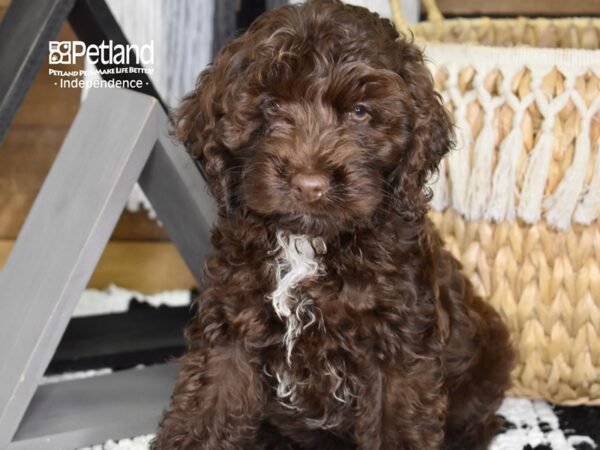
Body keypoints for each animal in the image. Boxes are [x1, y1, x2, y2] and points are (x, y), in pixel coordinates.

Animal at [152, 1, 512, 448]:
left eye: (359, 112)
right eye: (272, 106)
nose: (310, 184)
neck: (307, 243)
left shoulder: (399, 343)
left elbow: (397, 422)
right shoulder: (232, 323)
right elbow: (207, 405)